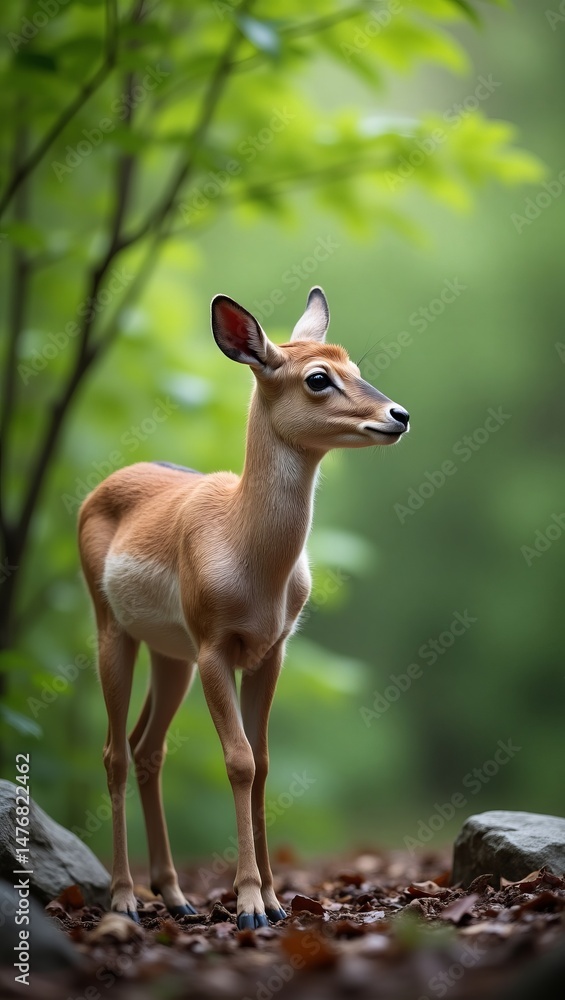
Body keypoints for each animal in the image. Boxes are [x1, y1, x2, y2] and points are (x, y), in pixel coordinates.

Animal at [78, 286, 410, 929]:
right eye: (318, 377)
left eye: (354, 365)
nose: (398, 415)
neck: (247, 552)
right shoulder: (214, 645)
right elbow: (238, 761)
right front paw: (250, 904)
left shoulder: (271, 650)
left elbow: (264, 765)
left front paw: (278, 902)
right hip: (114, 629)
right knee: (113, 752)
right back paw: (126, 899)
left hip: (171, 655)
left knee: (147, 748)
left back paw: (176, 896)